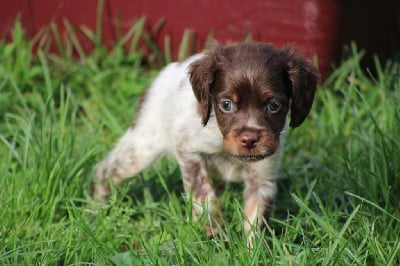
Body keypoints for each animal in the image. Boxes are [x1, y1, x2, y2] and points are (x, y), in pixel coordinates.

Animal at [93, 41, 318, 247]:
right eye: (226, 104)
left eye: (273, 105)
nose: (249, 139)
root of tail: (168, 70)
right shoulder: (187, 149)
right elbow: (204, 197)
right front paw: (215, 233)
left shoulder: (262, 177)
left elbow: (256, 221)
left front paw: (253, 252)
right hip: (141, 148)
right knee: (104, 171)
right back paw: (96, 209)